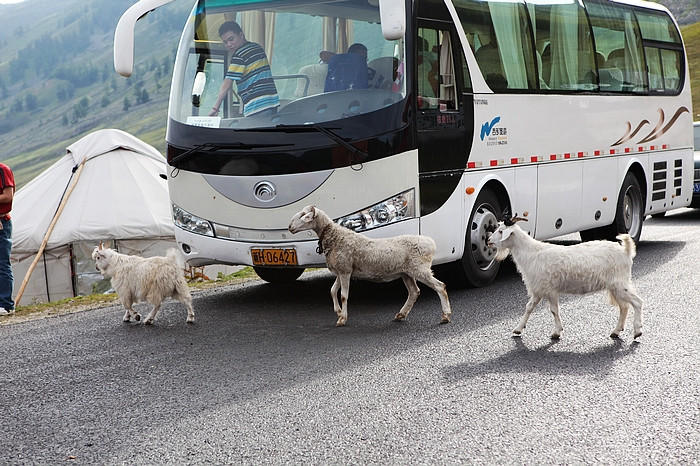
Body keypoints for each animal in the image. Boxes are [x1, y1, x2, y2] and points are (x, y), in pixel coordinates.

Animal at [288, 206, 452, 326]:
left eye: (304, 214)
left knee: (440, 286)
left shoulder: (345, 271)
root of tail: (430, 242)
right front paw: (338, 312)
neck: (334, 237)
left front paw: (342, 319)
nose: (289, 227)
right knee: (414, 292)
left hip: (420, 269)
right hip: (407, 273)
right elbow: (332, 291)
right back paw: (400, 314)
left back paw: (445, 316)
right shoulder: (342, 271)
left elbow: (343, 296)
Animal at [486, 217, 644, 340]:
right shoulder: (540, 289)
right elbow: (529, 307)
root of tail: (626, 251)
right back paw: (616, 331)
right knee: (624, 307)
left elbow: (553, 310)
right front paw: (518, 329)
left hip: (620, 283)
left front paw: (556, 332)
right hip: (615, 286)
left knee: (637, 302)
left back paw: (637, 331)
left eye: (501, 231)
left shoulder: (548, 289)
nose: (488, 241)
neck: (531, 253)